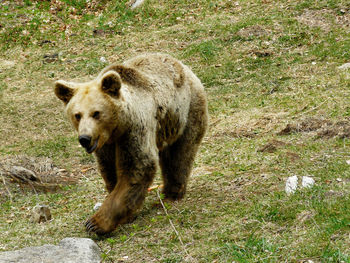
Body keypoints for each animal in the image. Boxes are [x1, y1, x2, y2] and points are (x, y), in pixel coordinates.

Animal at [54, 53, 208, 235]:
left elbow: (137, 167)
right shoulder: (106, 146)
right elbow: (110, 170)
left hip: (185, 111)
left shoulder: (135, 129)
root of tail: (183, 66)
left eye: (96, 113)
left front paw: (96, 223)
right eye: (77, 115)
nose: (85, 138)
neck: (116, 128)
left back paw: (171, 194)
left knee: (179, 155)